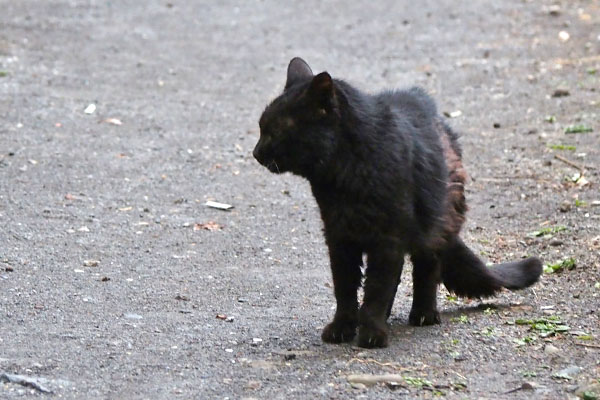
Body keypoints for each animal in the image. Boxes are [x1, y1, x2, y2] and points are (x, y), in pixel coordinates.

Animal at [253, 57, 544, 348]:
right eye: (261, 127)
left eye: (275, 131)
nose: (256, 152)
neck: (343, 178)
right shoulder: (338, 236)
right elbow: (345, 287)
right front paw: (343, 327)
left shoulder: (387, 237)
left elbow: (377, 288)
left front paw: (371, 333)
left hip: (433, 226)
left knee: (426, 269)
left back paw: (424, 314)